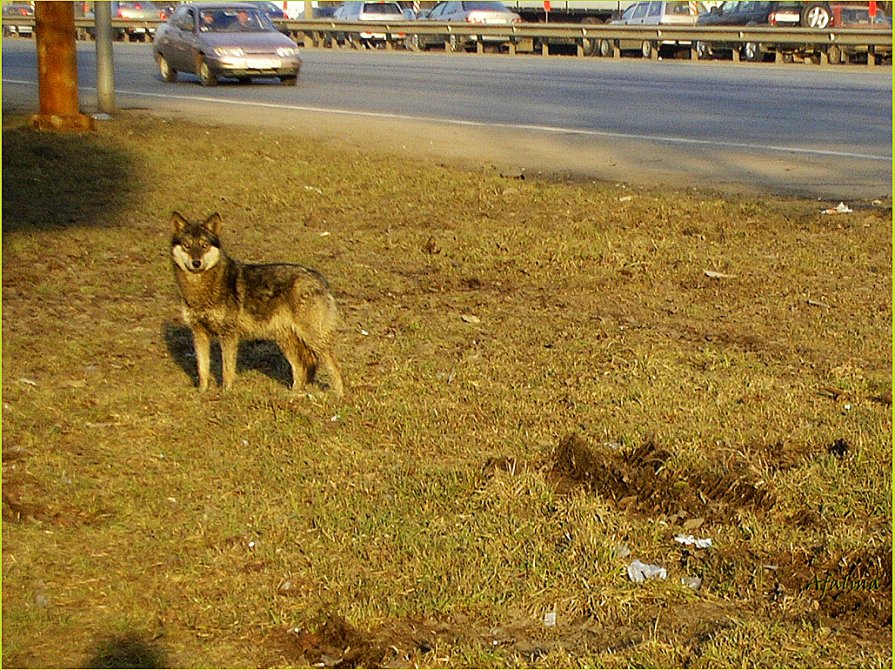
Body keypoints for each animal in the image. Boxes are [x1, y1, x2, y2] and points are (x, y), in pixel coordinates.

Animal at [171, 213, 344, 396]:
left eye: (204, 246)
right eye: (187, 246)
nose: (196, 263)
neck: (201, 288)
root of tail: (321, 279)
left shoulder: (229, 335)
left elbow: (227, 370)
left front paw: (226, 392)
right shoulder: (199, 334)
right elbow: (202, 369)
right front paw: (202, 392)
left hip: (312, 339)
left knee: (334, 367)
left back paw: (338, 396)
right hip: (286, 340)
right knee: (300, 369)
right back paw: (292, 395)